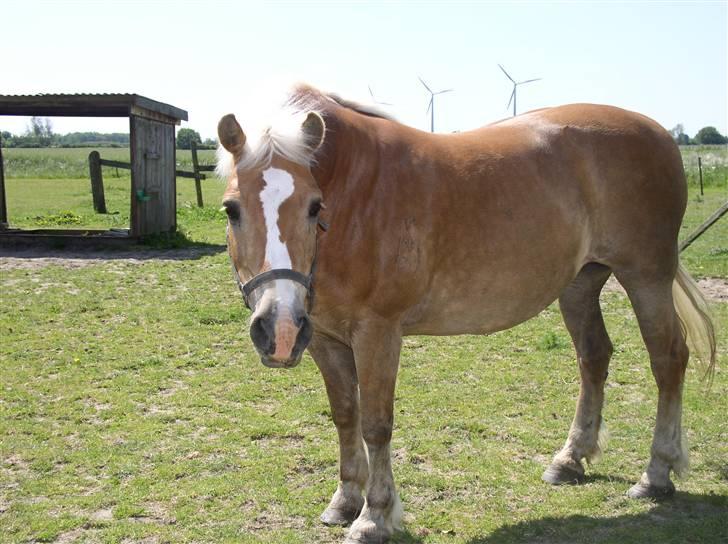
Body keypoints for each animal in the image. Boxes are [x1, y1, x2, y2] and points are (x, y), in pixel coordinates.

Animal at [216, 85, 716, 544]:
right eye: (231, 209)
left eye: (314, 206)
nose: (278, 329)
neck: (355, 191)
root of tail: (658, 133)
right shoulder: (322, 336)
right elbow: (345, 415)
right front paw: (344, 501)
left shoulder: (378, 332)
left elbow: (376, 424)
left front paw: (375, 516)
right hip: (581, 284)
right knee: (594, 358)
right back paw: (570, 460)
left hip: (646, 276)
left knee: (668, 360)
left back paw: (656, 474)